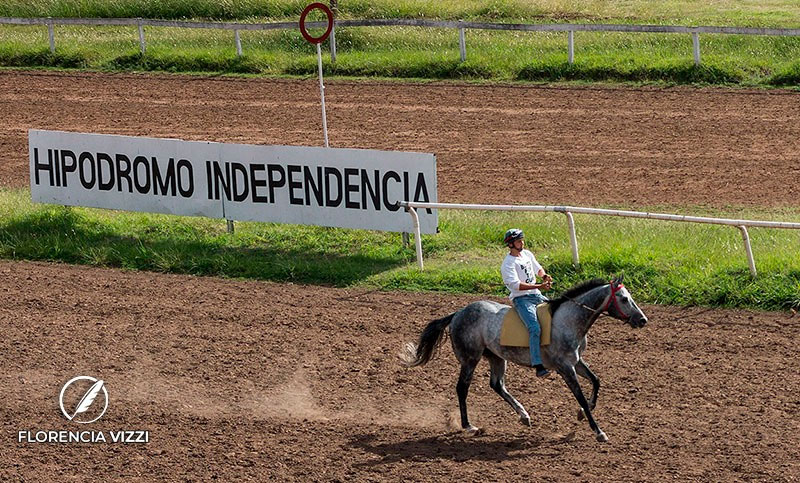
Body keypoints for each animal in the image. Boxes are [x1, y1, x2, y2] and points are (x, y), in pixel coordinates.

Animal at [404, 276, 648, 442]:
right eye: (624, 299)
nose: (642, 320)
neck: (568, 320)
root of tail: (457, 314)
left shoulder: (576, 361)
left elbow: (596, 382)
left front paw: (581, 413)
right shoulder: (565, 367)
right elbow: (579, 395)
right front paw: (598, 431)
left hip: (496, 357)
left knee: (497, 384)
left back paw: (523, 415)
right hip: (470, 359)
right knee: (462, 388)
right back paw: (469, 425)